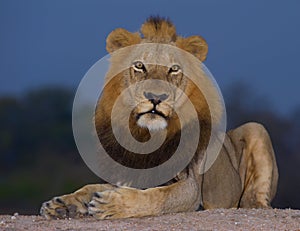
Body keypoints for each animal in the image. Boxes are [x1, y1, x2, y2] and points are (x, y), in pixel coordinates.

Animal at [40, 17, 278, 219]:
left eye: (174, 69)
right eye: (139, 66)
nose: (156, 97)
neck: (147, 137)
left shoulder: (191, 188)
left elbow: (158, 196)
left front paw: (111, 205)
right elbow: (91, 187)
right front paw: (62, 204)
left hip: (256, 128)